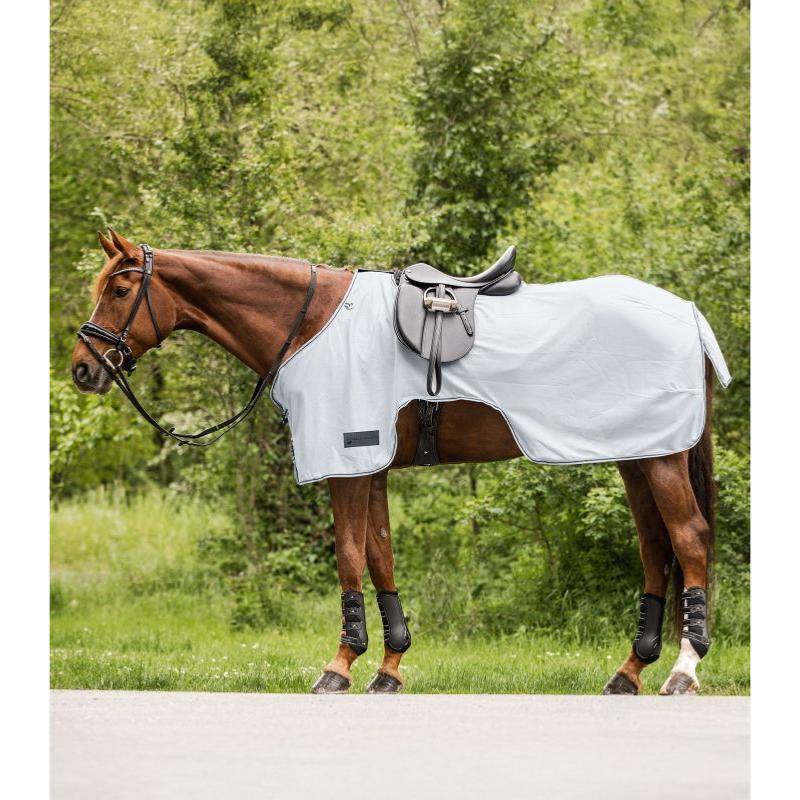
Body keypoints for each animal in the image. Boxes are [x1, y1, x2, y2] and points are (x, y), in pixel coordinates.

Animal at [71, 229, 719, 696]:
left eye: (120, 291)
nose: (82, 368)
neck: (311, 323)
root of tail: (688, 313)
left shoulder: (346, 461)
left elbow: (348, 557)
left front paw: (339, 666)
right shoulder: (371, 466)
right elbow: (380, 556)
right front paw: (389, 667)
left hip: (661, 459)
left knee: (688, 539)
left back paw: (682, 671)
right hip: (637, 458)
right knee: (655, 548)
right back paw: (629, 672)